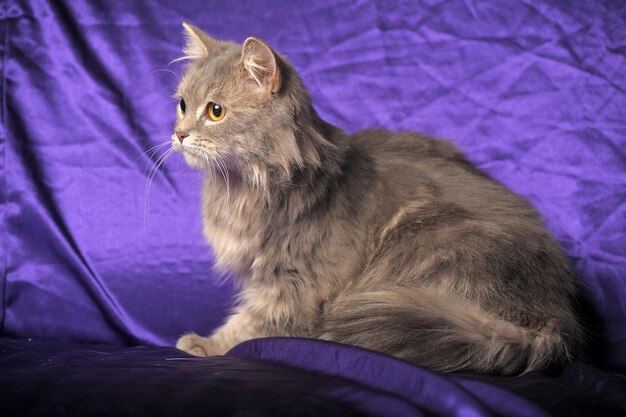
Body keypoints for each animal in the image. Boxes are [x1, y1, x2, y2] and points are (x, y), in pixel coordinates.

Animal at [169, 22, 580, 374]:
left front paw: (204, 344)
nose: (179, 134)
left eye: (216, 111)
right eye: (183, 105)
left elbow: (250, 323)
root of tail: (553, 315)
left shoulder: (300, 285)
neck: (243, 185)